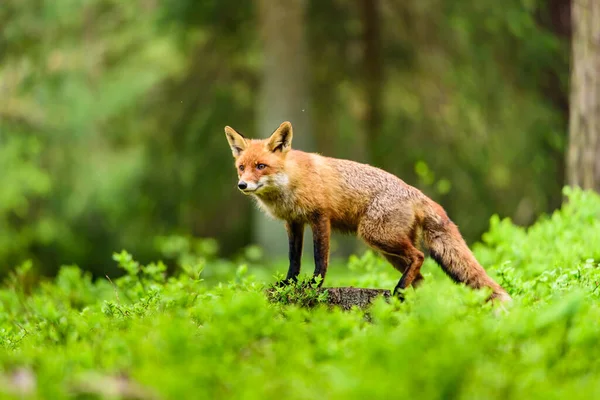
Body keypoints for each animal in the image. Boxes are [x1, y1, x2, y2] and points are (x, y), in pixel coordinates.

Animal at [225, 120, 510, 302]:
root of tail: (415, 192)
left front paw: (314, 285)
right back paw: (411, 298)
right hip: (389, 251)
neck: (290, 182)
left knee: (419, 257)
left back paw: (398, 292)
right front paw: (288, 284)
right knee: (421, 277)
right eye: (241, 167)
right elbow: (293, 259)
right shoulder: (293, 222)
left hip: (375, 235)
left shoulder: (320, 217)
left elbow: (320, 259)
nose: (242, 185)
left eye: (261, 166)